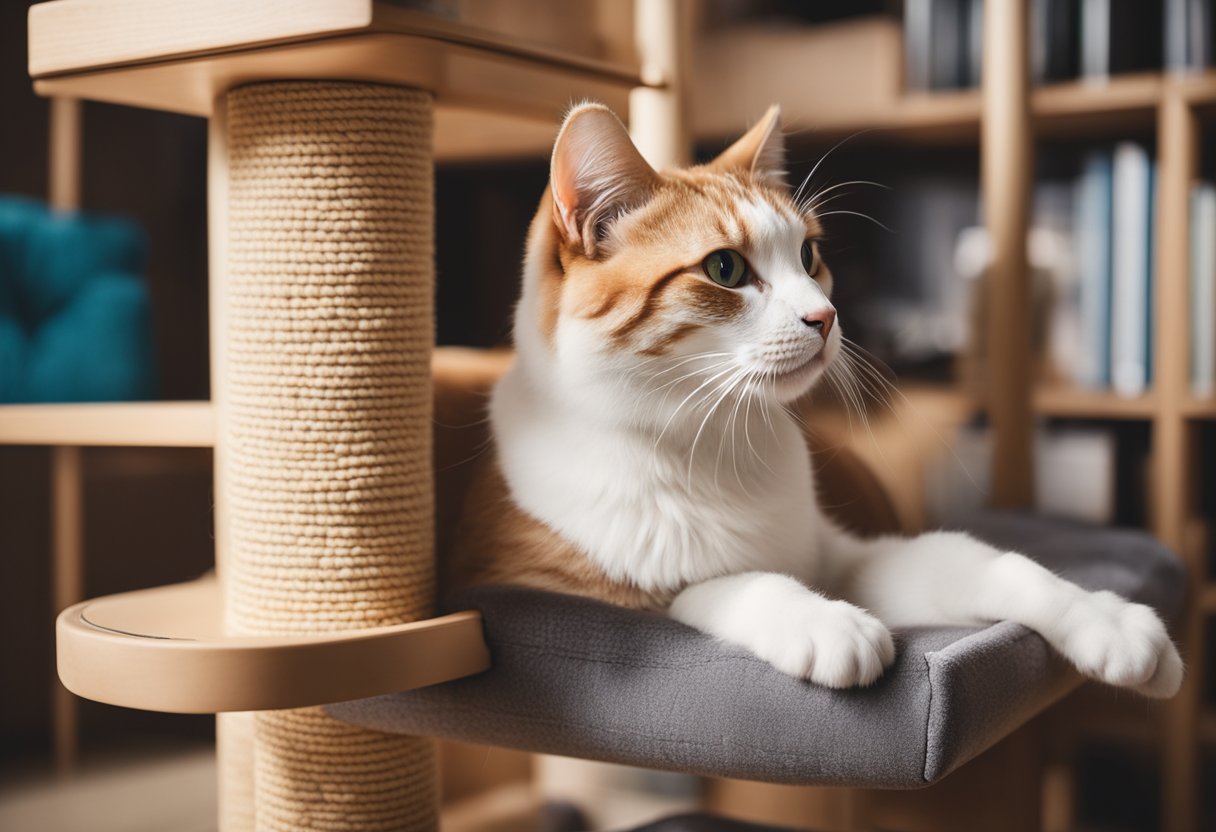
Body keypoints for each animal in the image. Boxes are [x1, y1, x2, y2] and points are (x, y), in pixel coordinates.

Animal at [447, 99, 1177, 695]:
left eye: (809, 255)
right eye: (724, 268)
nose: (825, 317)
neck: (715, 442)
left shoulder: (843, 555)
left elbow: (993, 564)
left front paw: (1101, 616)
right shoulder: (537, 584)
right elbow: (715, 586)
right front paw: (825, 623)